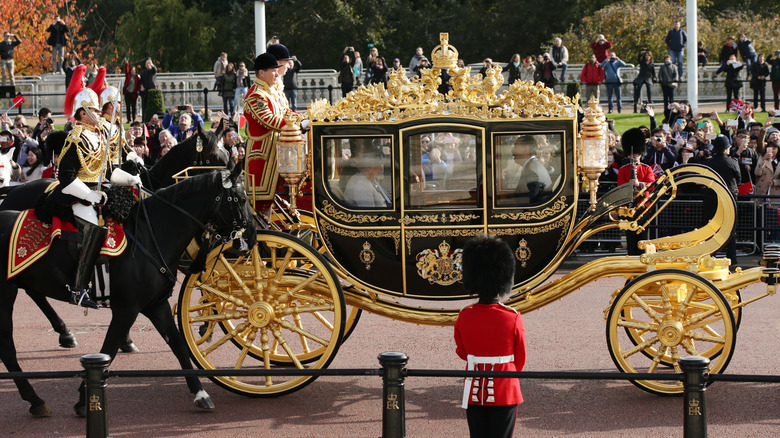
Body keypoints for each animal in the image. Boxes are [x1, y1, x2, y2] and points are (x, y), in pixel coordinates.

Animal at [0, 125, 233, 350]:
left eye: (228, 153)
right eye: (214, 158)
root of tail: (13, 192)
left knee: (33, 289)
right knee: (34, 291)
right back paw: (65, 332)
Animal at [0, 166, 256, 416]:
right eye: (242, 198)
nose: (253, 237)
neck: (150, 236)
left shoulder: (157, 305)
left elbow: (178, 345)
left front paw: (200, 393)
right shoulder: (127, 309)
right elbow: (108, 350)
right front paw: (85, 399)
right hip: (6, 294)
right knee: (8, 349)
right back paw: (36, 398)